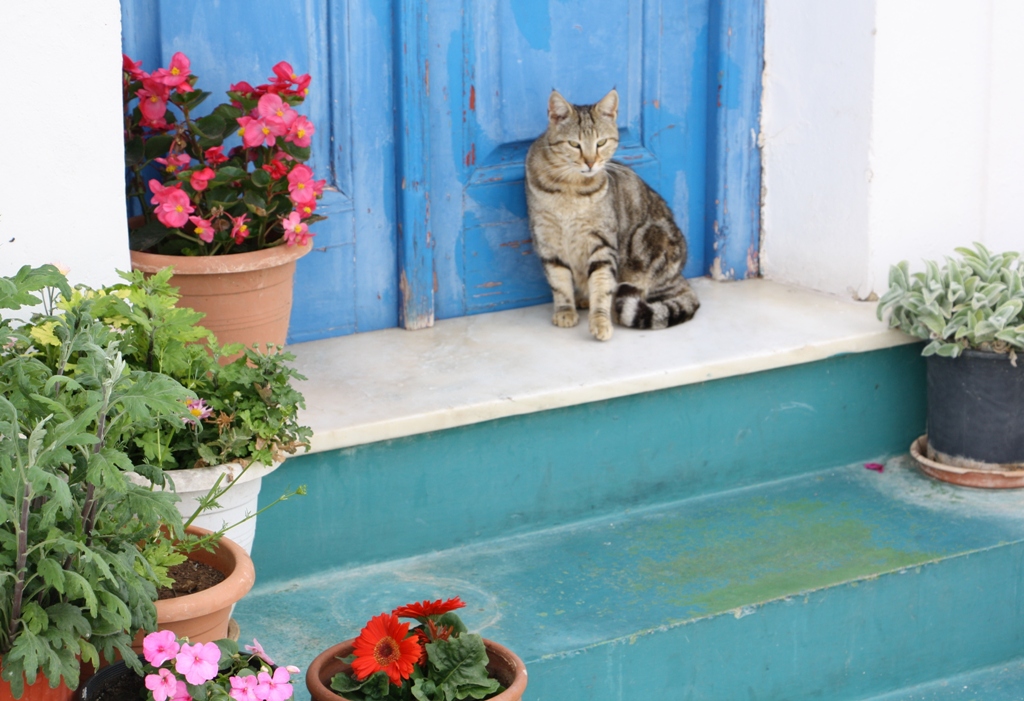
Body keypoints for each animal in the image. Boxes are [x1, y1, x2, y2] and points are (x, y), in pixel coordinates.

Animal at [528, 89, 696, 339]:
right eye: (574, 144)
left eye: (601, 142)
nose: (590, 162)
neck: (570, 189)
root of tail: (679, 277)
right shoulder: (547, 241)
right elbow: (559, 282)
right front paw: (565, 311)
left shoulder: (602, 243)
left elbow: (601, 285)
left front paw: (600, 321)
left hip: (646, 241)